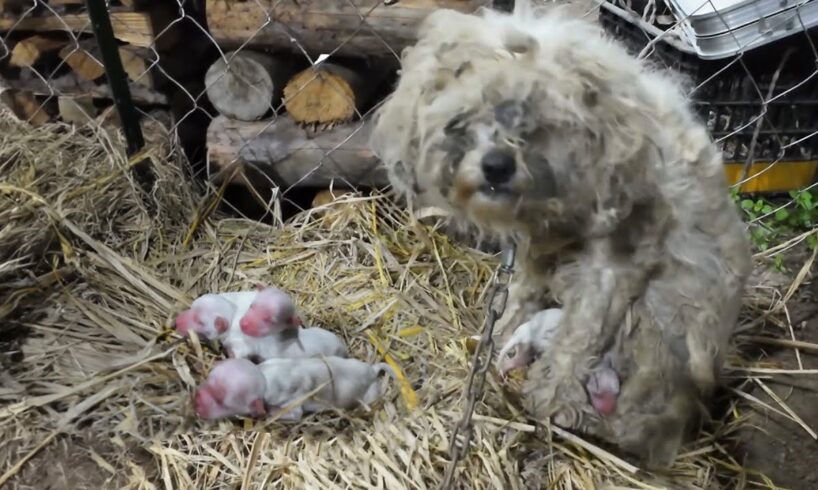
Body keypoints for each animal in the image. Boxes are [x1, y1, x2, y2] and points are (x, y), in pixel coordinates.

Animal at [193, 356, 394, 422]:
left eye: (221, 400)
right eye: (209, 379)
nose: (195, 402)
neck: (264, 376)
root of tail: (372, 371)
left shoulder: (291, 398)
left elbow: (295, 413)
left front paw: (270, 413)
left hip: (370, 395)